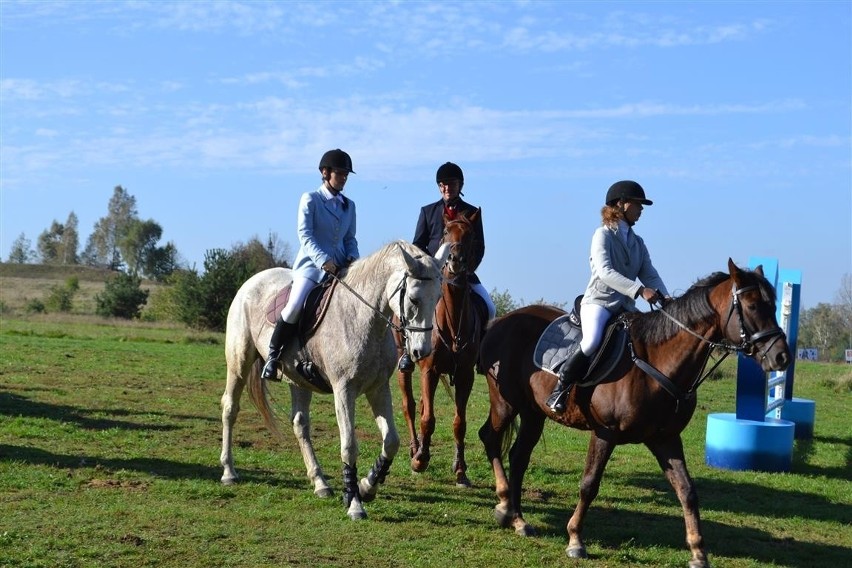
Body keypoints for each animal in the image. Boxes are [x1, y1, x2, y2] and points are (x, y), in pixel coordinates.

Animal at [220, 240, 446, 520]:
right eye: (414, 299)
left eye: (438, 298)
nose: (421, 352)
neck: (362, 316)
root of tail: (252, 281)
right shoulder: (344, 390)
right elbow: (349, 445)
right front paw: (354, 502)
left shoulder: (378, 388)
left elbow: (391, 441)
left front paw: (367, 486)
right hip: (238, 365)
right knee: (230, 408)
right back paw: (228, 471)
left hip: (298, 380)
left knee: (300, 425)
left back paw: (320, 483)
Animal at [396, 210, 482, 488]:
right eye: (445, 232)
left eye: (471, 235)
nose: (455, 261)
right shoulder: (429, 371)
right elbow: (427, 419)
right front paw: (420, 460)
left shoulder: (465, 375)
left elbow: (459, 422)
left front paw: (460, 470)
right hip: (405, 364)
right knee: (411, 406)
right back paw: (415, 450)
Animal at [480, 260, 792, 564]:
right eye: (753, 306)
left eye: (773, 305)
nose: (782, 357)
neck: (657, 361)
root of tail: (502, 321)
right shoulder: (605, 433)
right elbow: (589, 484)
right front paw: (576, 540)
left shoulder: (666, 439)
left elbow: (687, 491)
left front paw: (698, 552)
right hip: (506, 403)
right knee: (490, 437)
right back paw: (505, 504)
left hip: (534, 413)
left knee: (518, 457)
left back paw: (518, 520)